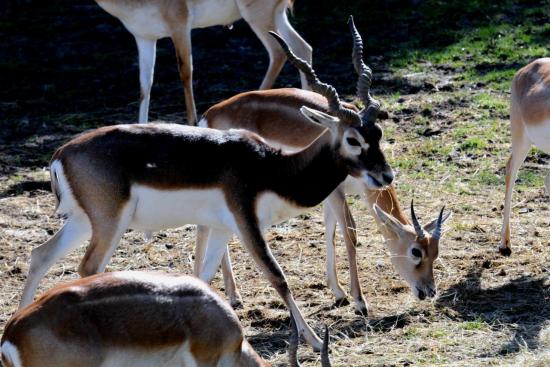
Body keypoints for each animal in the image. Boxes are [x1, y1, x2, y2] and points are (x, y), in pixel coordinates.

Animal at [18, 32, 396, 350]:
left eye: (377, 133)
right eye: (353, 139)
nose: (386, 175)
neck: (271, 168)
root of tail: (61, 153)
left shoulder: (221, 228)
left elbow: (202, 276)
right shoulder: (246, 222)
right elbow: (278, 277)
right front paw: (316, 342)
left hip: (83, 221)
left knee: (40, 255)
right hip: (110, 223)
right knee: (88, 268)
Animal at [92, 0, 312, 125]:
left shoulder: (180, 26)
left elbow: (185, 72)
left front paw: (192, 123)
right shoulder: (144, 38)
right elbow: (145, 86)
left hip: (258, 15)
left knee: (278, 52)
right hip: (276, 15)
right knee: (301, 48)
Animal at [201, 15, 454, 312]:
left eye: (435, 252)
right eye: (415, 251)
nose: (429, 290)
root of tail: (210, 114)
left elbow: (330, 232)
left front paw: (338, 291)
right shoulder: (334, 192)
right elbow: (350, 234)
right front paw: (359, 301)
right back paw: (233, 296)